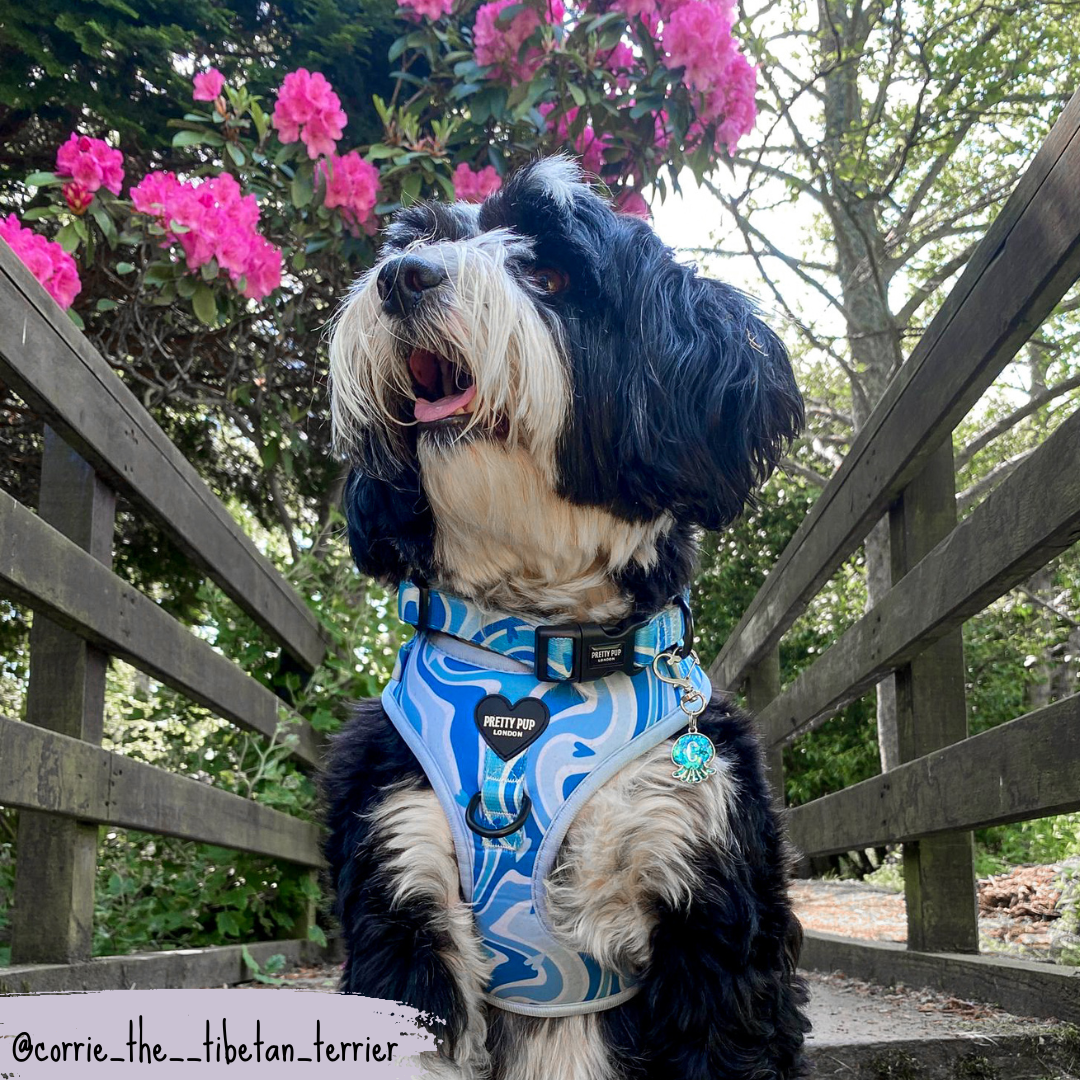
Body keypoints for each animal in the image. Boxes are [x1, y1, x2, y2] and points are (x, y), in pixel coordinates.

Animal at [319, 154, 812, 1080]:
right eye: (413, 241)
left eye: (547, 273)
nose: (403, 276)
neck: (537, 654)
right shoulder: (401, 890)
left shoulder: (713, 915)